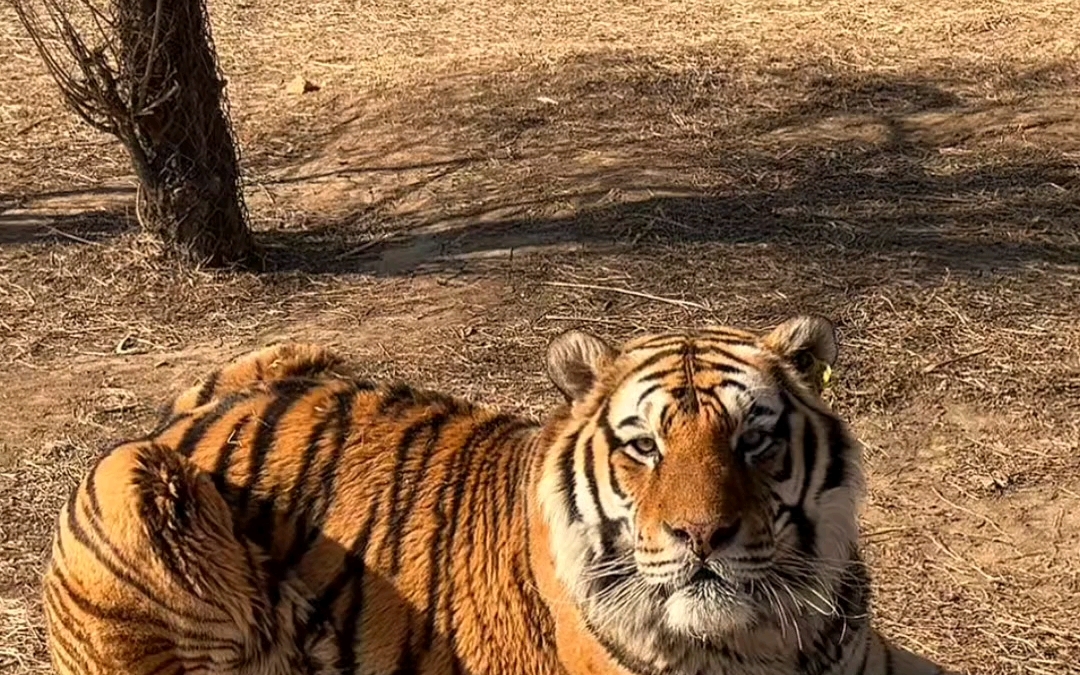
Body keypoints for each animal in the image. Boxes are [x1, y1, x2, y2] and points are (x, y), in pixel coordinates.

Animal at [42, 315, 946, 673]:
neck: (767, 641)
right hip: (129, 481)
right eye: (643, 446)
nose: (702, 535)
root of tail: (177, 420)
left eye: (753, 438)